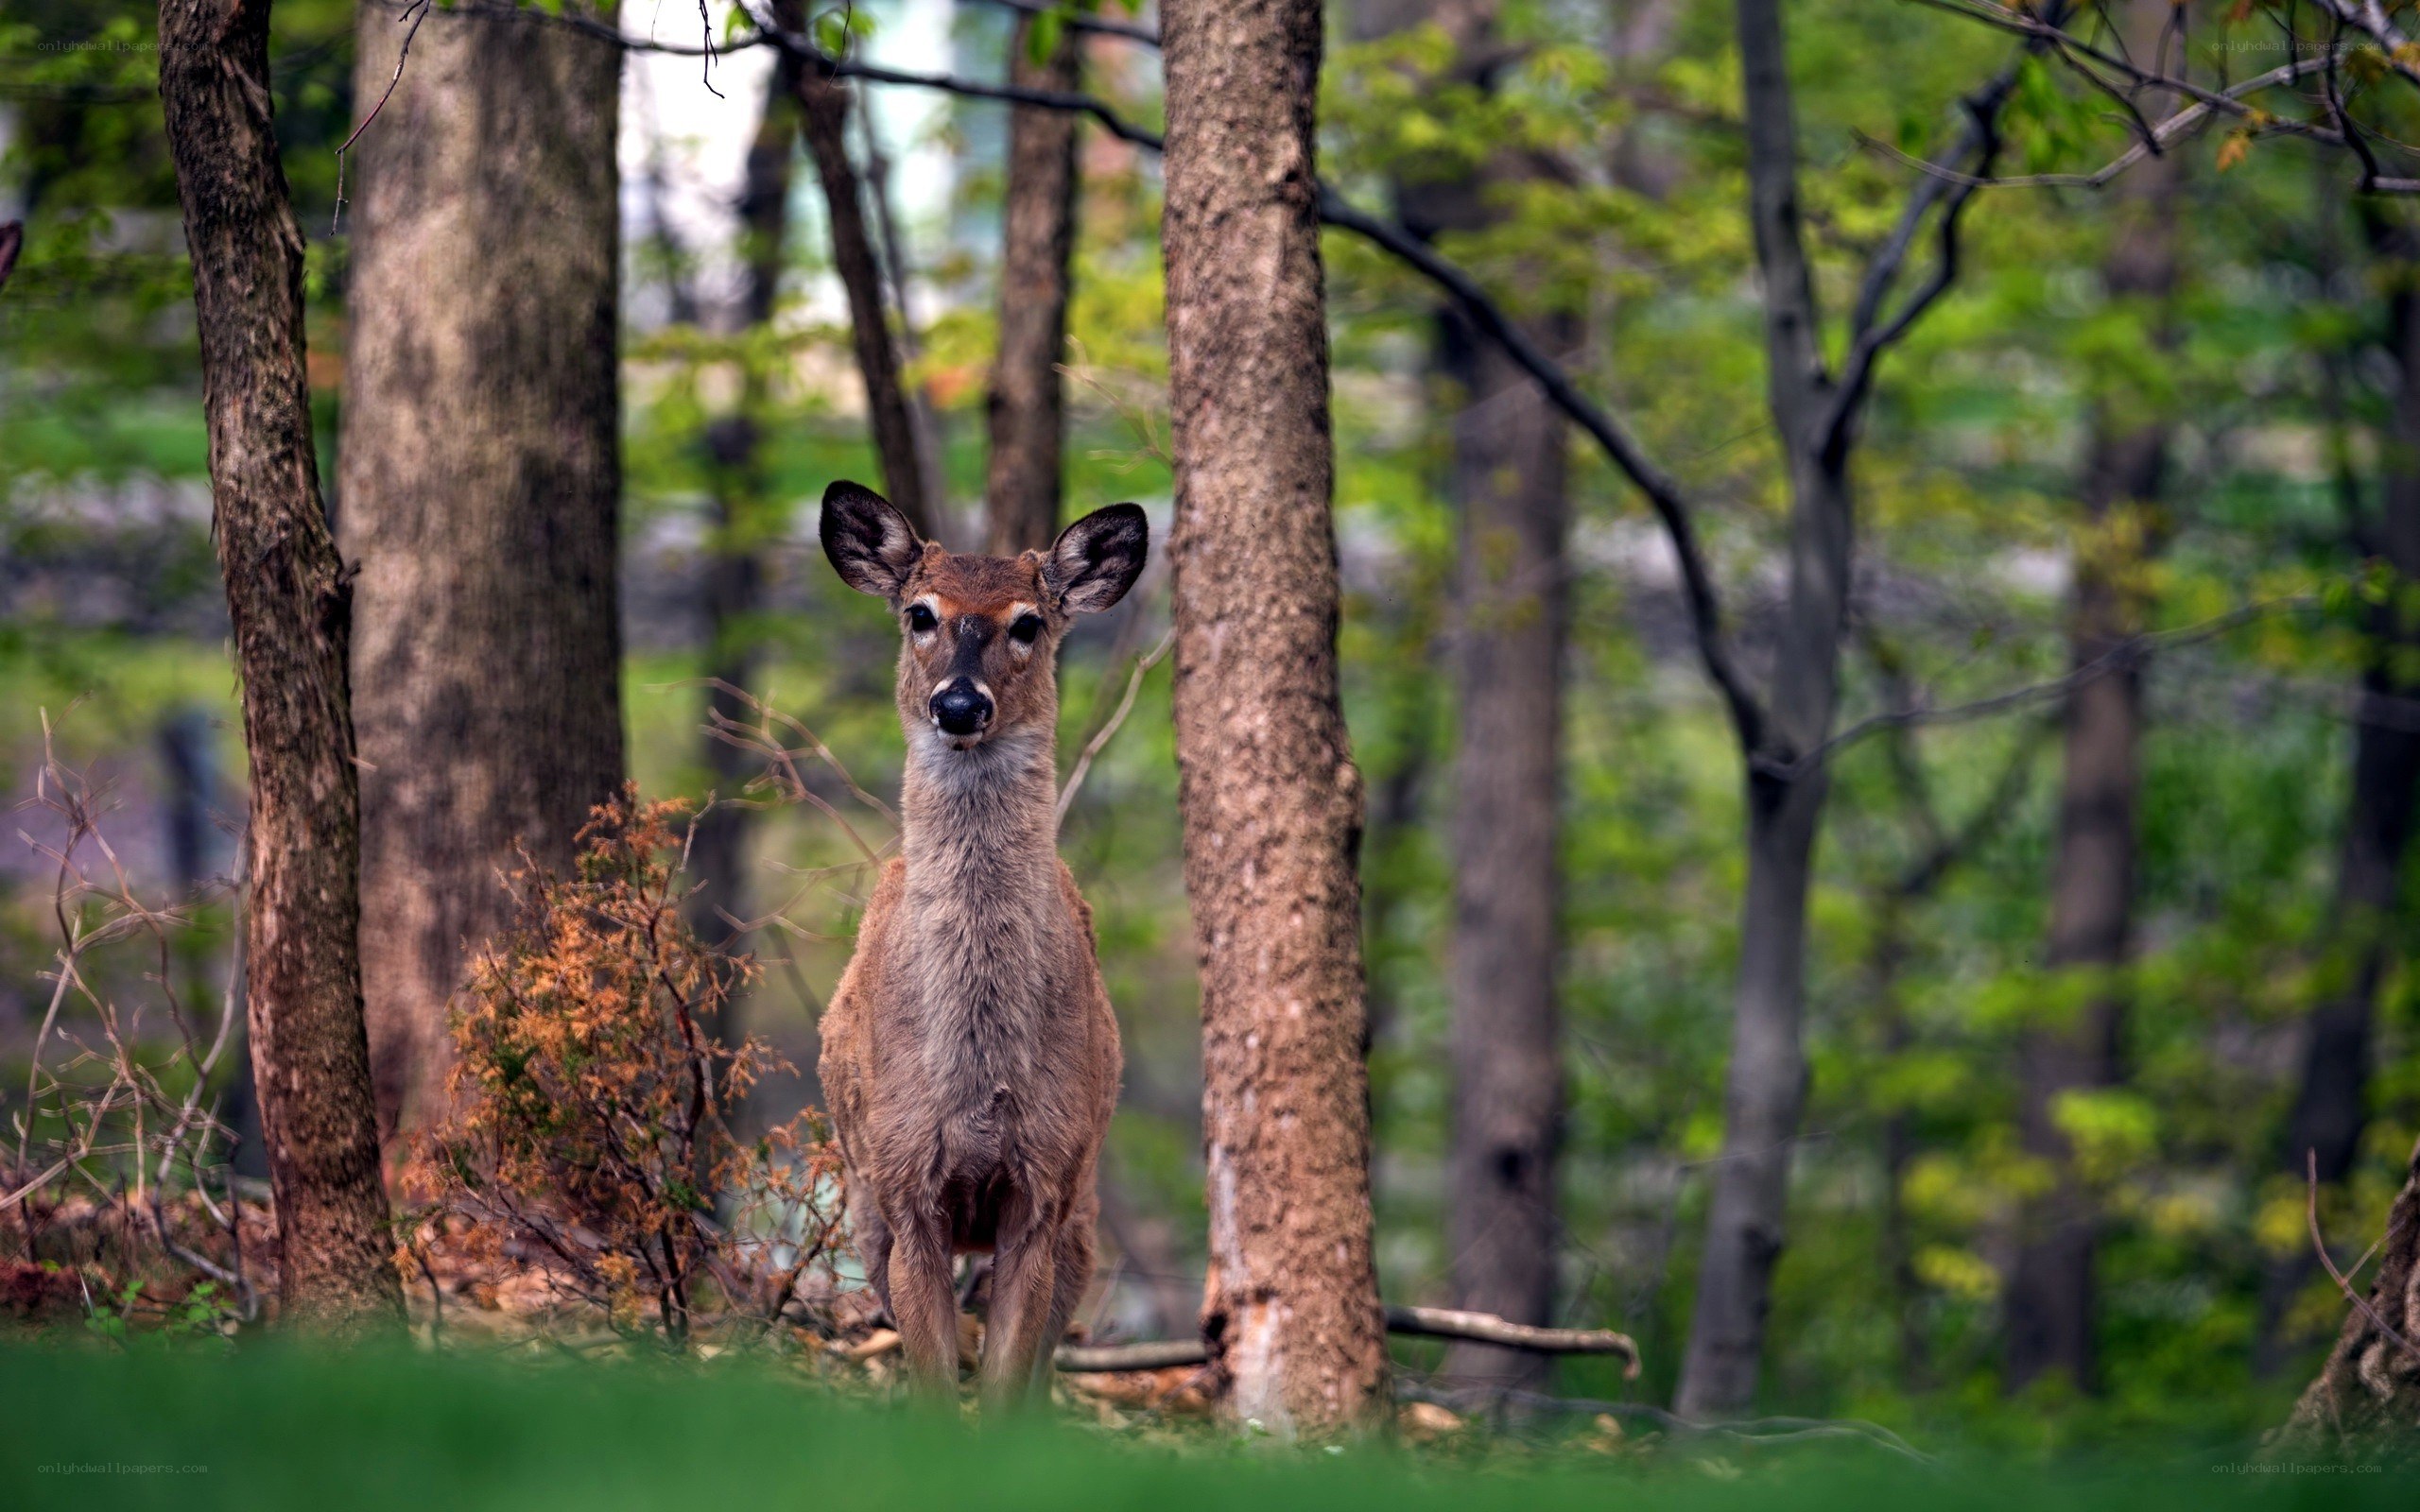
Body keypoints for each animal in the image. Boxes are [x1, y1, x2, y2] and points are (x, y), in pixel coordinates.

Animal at [814, 479, 1144, 1405]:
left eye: (1028, 622)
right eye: (919, 613)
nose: (958, 704)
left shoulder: (1044, 1185)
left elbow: (1003, 1390)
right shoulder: (902, 1188)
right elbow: (933, 1382)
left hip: (1085, 1211)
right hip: (862, 1207)